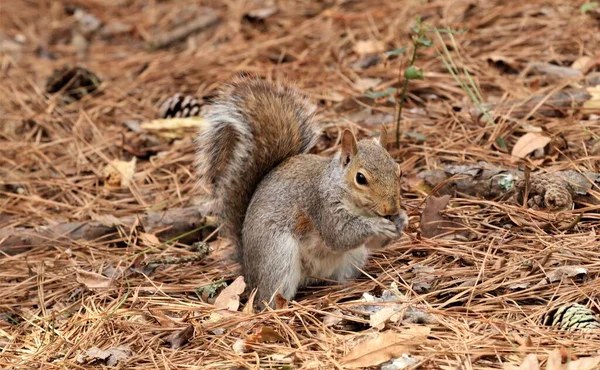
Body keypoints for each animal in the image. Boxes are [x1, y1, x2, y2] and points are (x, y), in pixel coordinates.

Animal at [197, 76, 408, 308]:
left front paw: (402, 220)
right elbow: (339, 236)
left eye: (399, 171)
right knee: (267, 297)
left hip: (353, 258)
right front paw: (376, 225)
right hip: (277, 256)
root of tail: (248, 268)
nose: (391, 208)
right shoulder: (321, 205)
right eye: (360, 178)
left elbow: (373, 243)